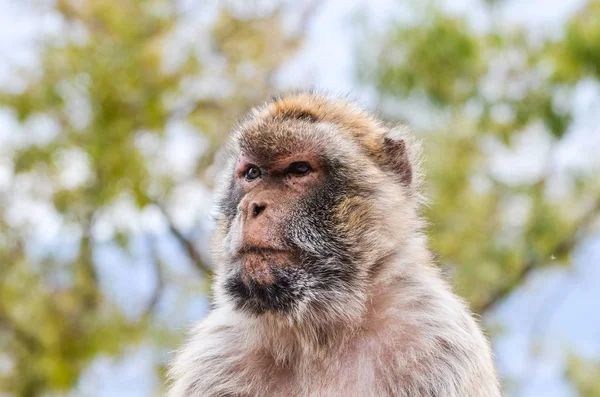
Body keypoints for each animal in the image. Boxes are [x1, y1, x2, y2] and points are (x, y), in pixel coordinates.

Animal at [165, 92, 502, 396]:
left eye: (299, 169)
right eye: (252, 173)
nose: (250, 207)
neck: (317, 331)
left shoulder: (438, 341)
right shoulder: (215, 358)